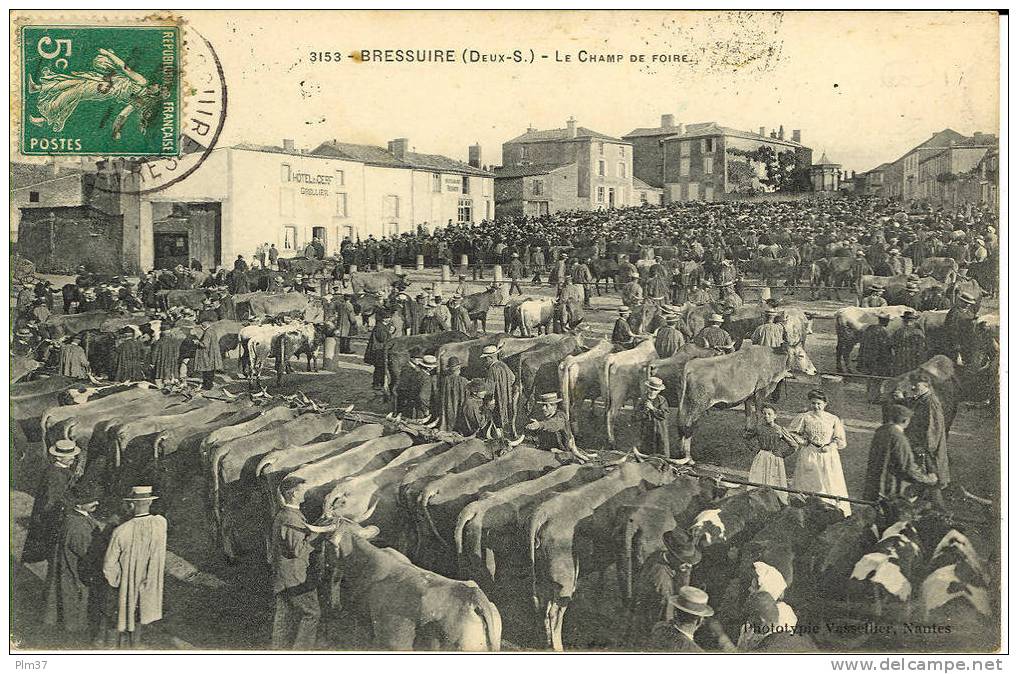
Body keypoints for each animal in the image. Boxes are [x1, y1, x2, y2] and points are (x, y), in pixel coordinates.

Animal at [525, 462, 675, 651]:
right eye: (672, 472)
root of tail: (542, 512)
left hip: (542, 573)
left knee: (542, 606)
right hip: (564, 576)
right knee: (554, 611)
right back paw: (558, 646)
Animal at [675, 346, 818, 462]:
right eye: (801, 355)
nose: (815, 371)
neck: (772, 360)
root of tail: (691, 365)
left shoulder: (749, 395)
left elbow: (748, 412)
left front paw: (748, 431)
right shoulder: (761, 392)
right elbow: (759, 412)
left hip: (685, 404)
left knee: (681, 424)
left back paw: (681, 453)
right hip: (697, 405)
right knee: (687, 426)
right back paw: (688, 458)